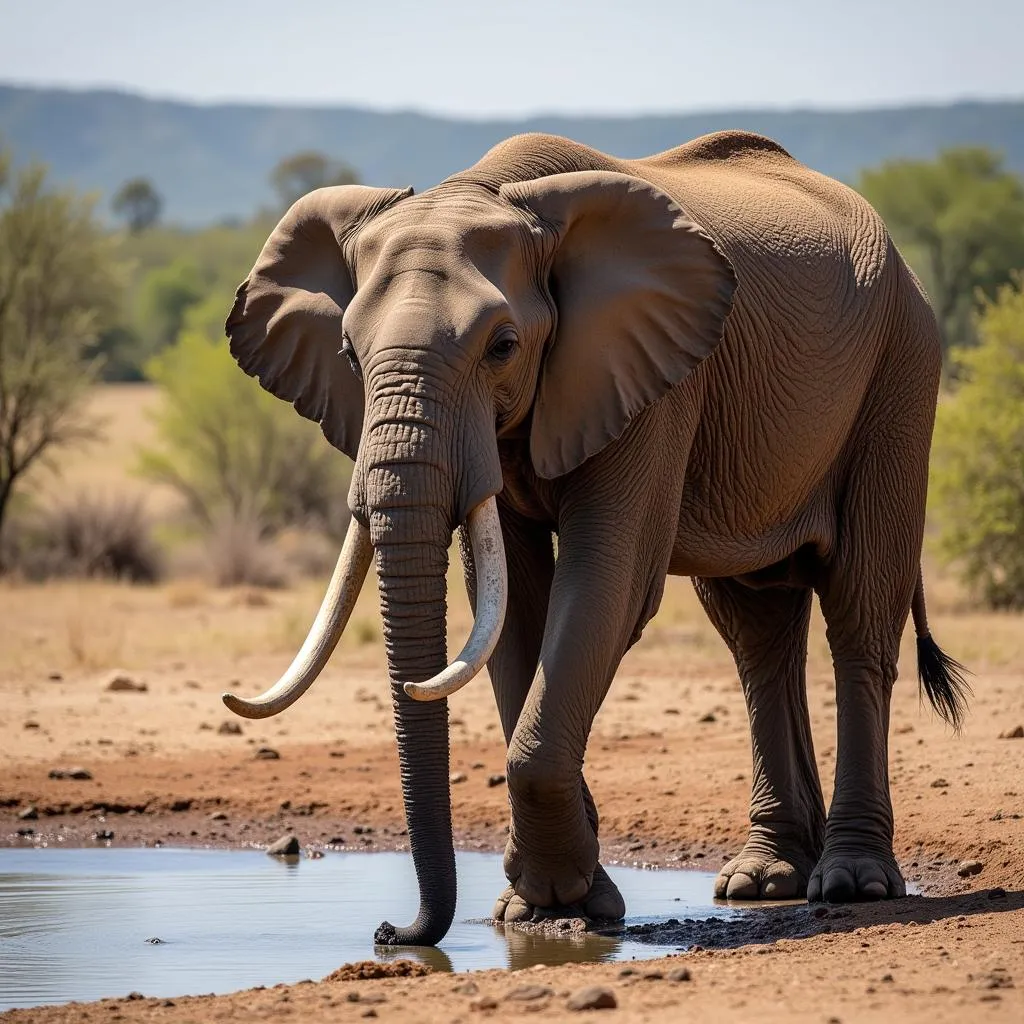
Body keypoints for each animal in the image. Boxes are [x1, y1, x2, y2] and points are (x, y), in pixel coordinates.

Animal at [222, 132, 966, 946]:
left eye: (503, 346)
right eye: (350, 356)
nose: (393, 933)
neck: (491, 191)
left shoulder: (656, 381)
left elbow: (609, 582)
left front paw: (562, 901)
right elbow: (513, 609)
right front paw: (540, 907)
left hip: (901, 369)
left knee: (861, 611)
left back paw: (854, 884)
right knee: (756, 632)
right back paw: (763, 882)